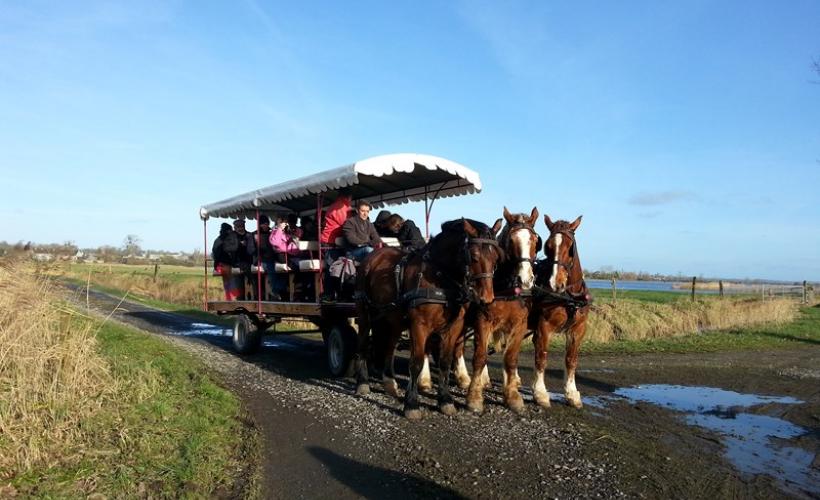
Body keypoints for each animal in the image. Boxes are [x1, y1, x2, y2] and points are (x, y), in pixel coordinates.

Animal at [354, 219, 502, 418]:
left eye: (496, 257)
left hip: (393, 318)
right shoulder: (419, 325)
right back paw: (362, 382)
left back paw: (389, 383)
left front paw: (445, 400)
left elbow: (445, 362)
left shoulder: (454, 327)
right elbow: (416, 362)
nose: (486, 298)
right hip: (364, 312)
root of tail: (373, 257)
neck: (440, 277)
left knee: (389, 347)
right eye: (474, 256)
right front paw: (411, 403)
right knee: (362, 343)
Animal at [464, 207, 540, 414]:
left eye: (535, 240)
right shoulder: (482, 320)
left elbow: (510, 358)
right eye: (511, 240)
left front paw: (512, 395)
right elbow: (480, 356)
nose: (525, 280)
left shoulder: (519, 324)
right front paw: (474, 397)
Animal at [528, 214, 592, 406]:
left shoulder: (577, 330)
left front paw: (571, 393)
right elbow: (541, 357)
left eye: (570, 247)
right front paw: (540, 393)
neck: (569, 297)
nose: (556, 283)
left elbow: (571, 360)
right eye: (548, 246)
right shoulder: (544, 326)